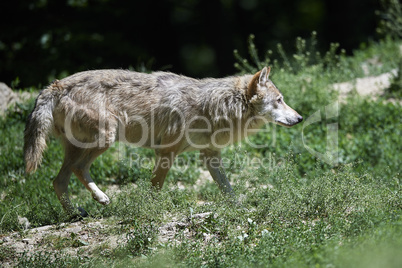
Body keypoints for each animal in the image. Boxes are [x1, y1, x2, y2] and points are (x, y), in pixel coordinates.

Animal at [23, 67, 302, 216]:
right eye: (279, 100)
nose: (299, 118)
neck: (214, 106)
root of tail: (56, 85)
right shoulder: (166, 153)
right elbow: (156, 187)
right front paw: (151, 211)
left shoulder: (210, 156)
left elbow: (228, 189)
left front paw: (240, 209)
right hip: (106, 137)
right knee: (78, 169)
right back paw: (101, 199)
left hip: (79, 147)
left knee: (58, 181)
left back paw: (75, 214)